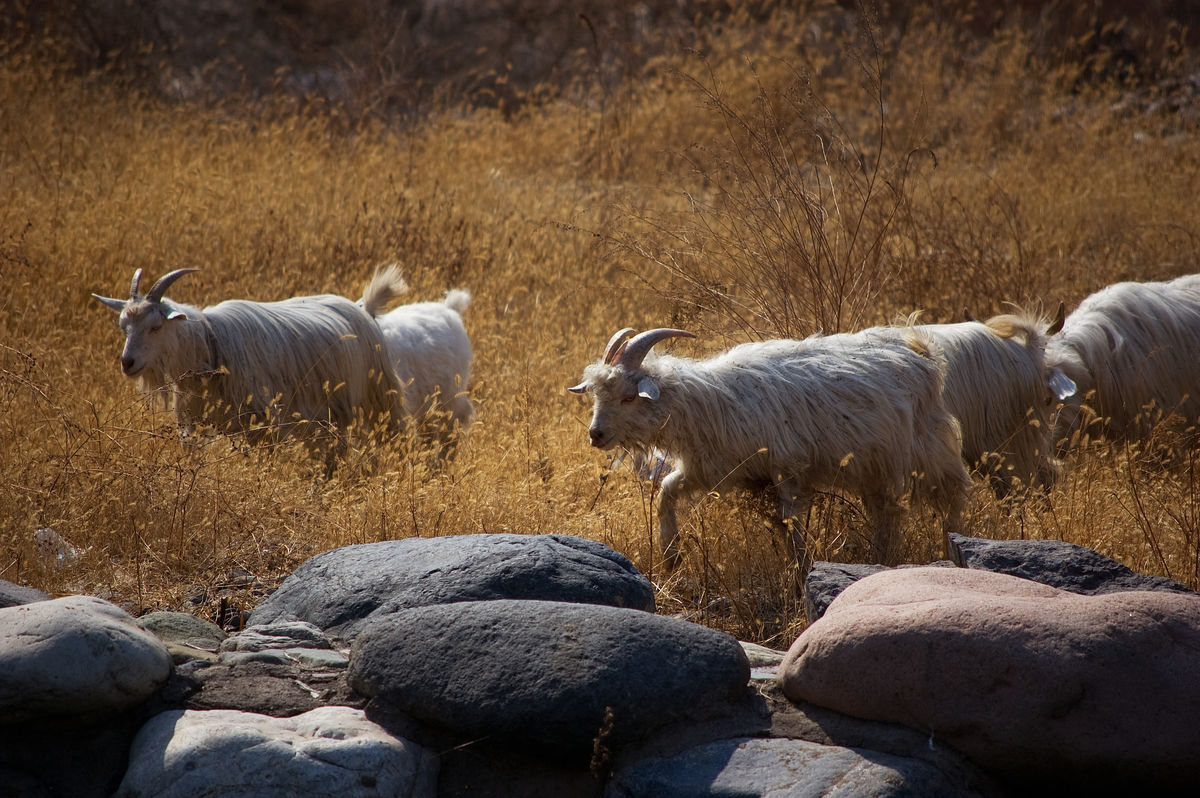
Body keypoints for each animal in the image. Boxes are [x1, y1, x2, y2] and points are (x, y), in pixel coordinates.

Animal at [93, 268, 403, 468]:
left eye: (156, 326)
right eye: (124, 326)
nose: (128, 363)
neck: (211, 342)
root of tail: (363, 309)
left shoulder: (261, 425)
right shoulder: (191, 425)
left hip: (379, 401)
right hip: (324, 419)